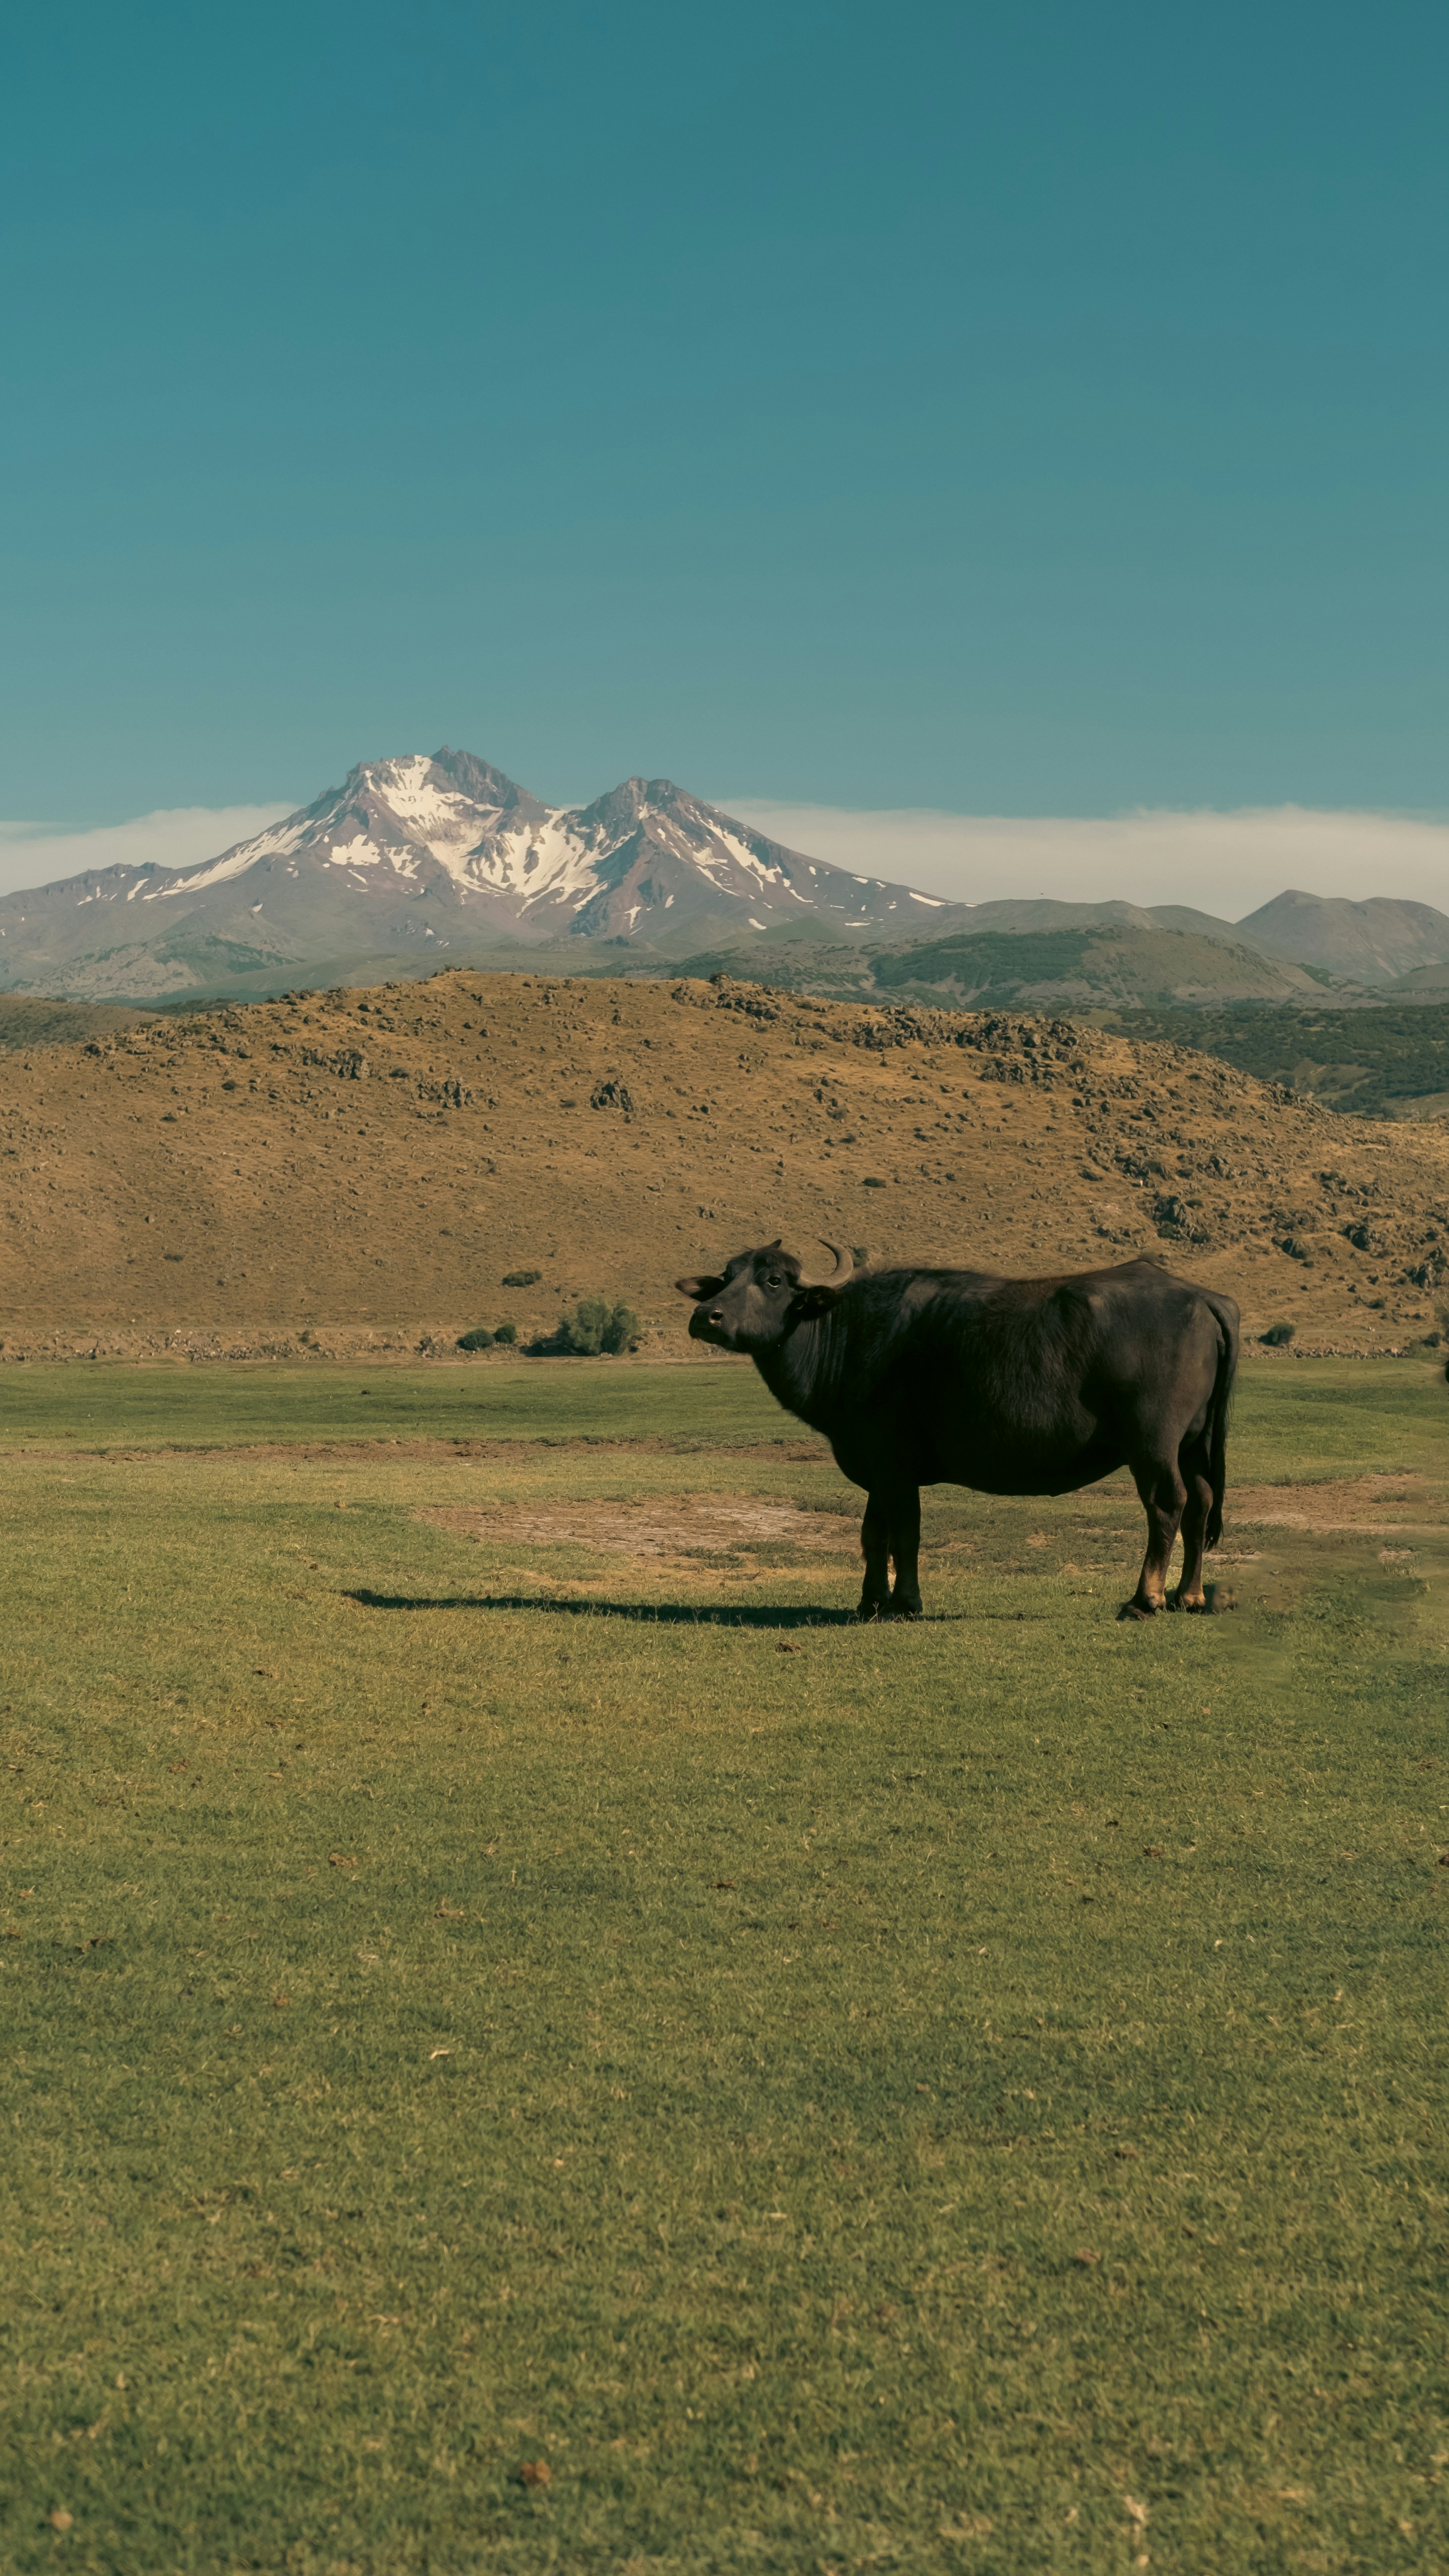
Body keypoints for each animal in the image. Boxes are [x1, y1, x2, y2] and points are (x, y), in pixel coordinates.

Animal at [675, 1241, 1239, 1622]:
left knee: (1166, 1504)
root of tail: (1201, 1297)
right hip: (1193, 1444)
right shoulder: (878, 1468)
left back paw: (1144, 1599)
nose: (705, 1316)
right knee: (1200, 1504)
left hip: (1153, 1445)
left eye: (773, 1281)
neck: (845, 1331)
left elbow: (905, 1531)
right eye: (725, 1276)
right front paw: (869, 1601)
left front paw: (903, 1602)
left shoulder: (894, 1465)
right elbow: (872, 1534)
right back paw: (1188, 1595)